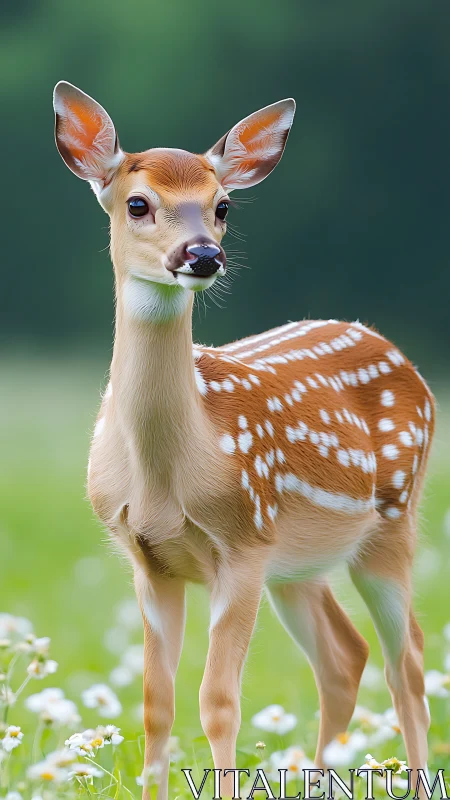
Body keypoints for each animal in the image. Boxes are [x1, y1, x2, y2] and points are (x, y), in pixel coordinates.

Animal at [53, 81, 435, 799]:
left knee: (409, 664)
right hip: (299, 563)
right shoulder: (149, 558)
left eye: (222, 205)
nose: (203, 255)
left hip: (391, 521)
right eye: (137, 203)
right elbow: (156, 703)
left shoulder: (243, 543)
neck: (168, 474)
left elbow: (219, 702)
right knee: (346, 657)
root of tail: (396, 351)